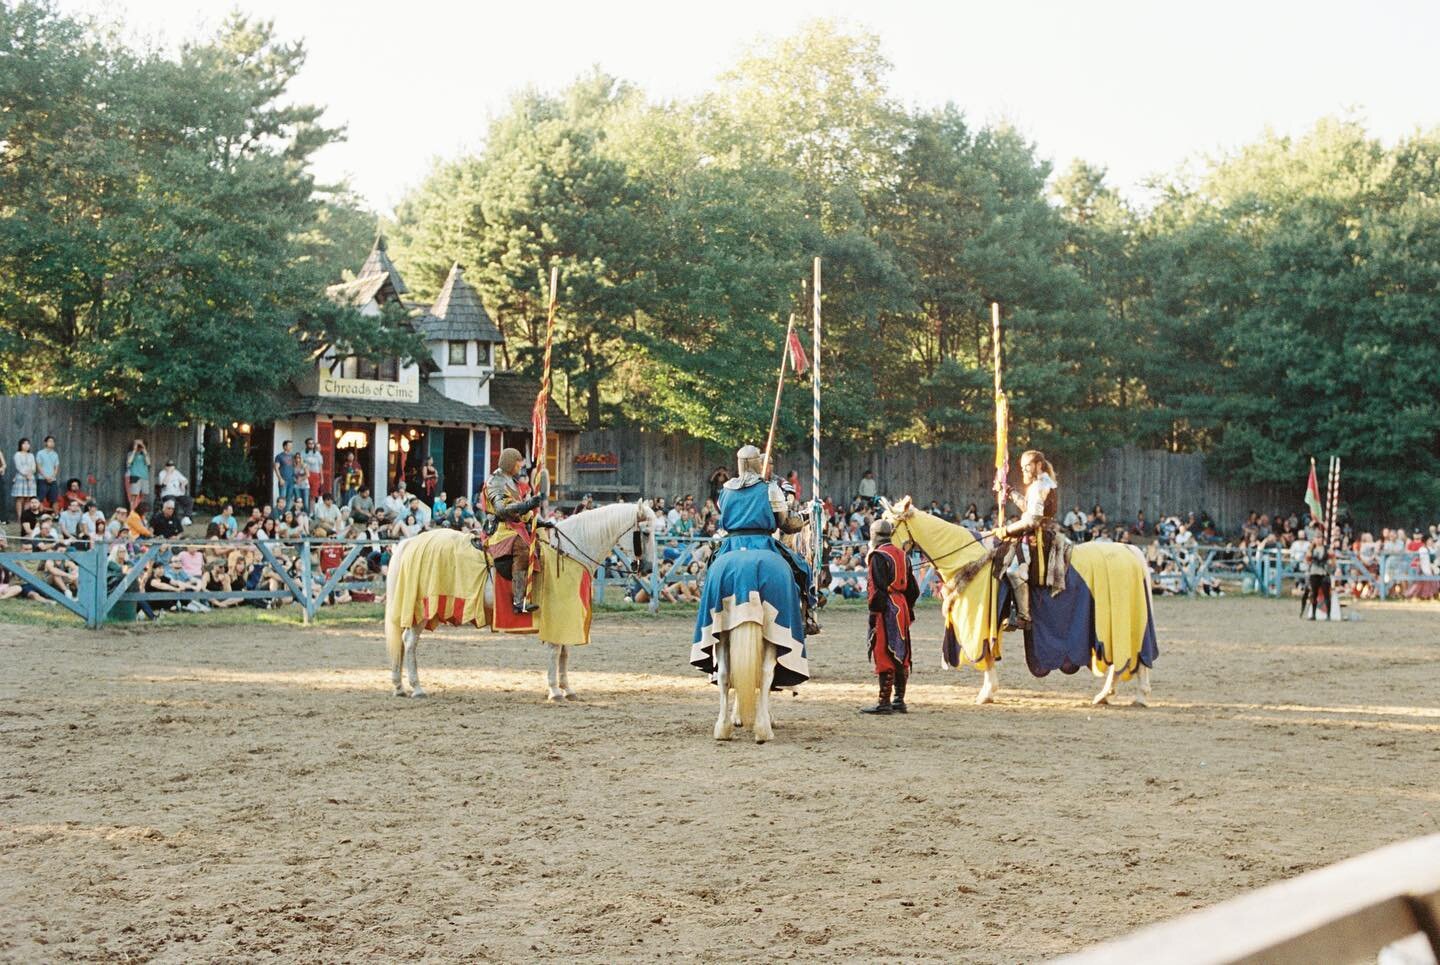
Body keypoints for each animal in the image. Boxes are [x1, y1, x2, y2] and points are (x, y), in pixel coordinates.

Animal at [380, 504, 656, 699]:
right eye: (645, 533)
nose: (647, 568)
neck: (569, 550)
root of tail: (410, 543)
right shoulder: (557, 615)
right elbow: (556, 650)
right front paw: (554, 690)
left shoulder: (567, 619)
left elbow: (565, 652)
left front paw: (567, 688)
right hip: (423, 608)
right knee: (409, 642)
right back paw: (416, 687)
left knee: (402, 641)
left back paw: (399, 686)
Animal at [875, 498, 1157, 711]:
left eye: (891, 523)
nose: (873, 548)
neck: (966, 556)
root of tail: (1131, 552)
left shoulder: (980, 624)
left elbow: (986, 655)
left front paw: (986, 693)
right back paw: (1122, 696)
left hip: (1117, 625)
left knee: (1128, 658)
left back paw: (1122, 695)